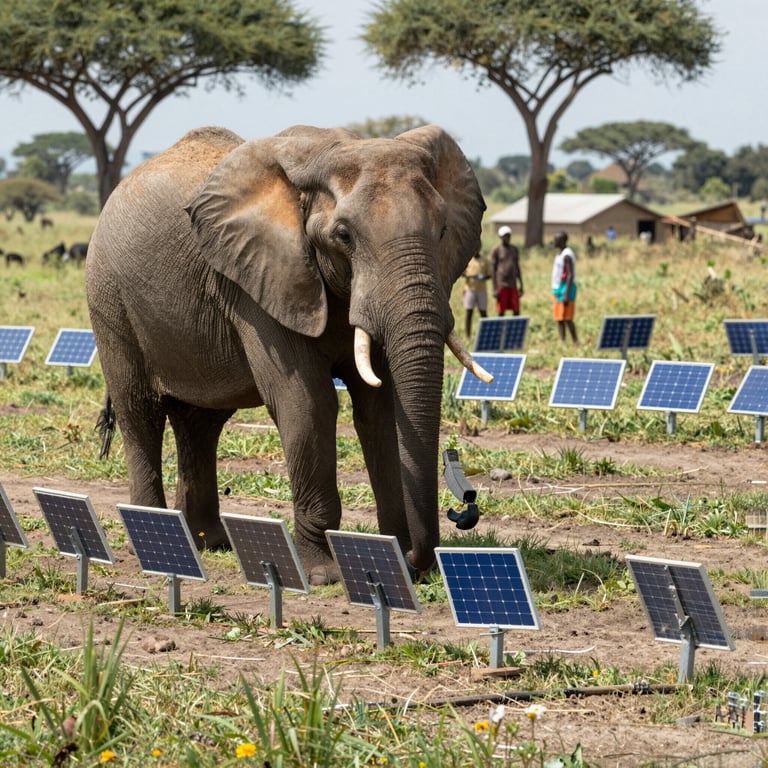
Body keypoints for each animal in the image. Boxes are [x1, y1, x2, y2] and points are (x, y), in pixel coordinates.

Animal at [85, 124, 491, 584]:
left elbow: (382, 407)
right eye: (344, 236)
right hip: (109, 297)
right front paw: (325, 574)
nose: (464, 508)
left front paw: (396, 563)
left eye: (442, 230)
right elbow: (308, 402)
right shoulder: (260, 284)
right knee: (140, 413)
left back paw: (209, 542)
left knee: (200, 423)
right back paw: (158, 542)